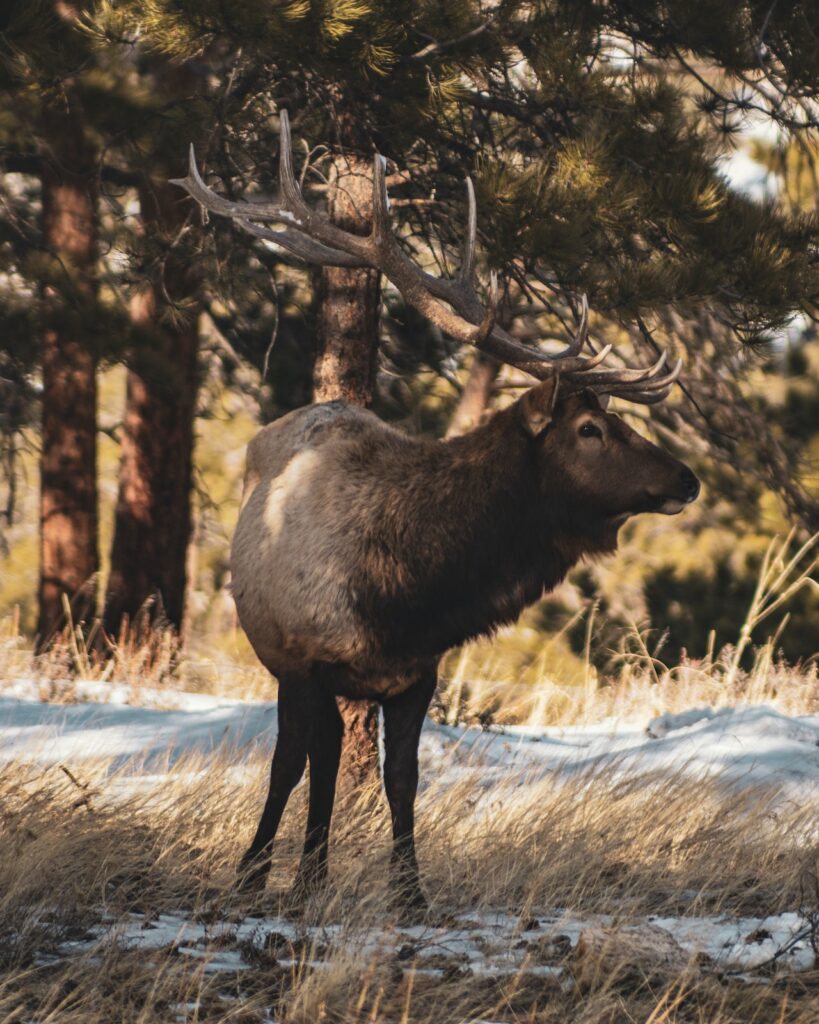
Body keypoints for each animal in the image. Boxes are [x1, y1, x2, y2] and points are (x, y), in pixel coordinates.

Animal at [172, 112, 700, 912]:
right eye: (590, 429)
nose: (687, 477)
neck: (406, 592)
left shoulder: (418, 674)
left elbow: (402, 779)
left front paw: (409, 894)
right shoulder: (307, 660)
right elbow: (300, 769)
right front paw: (274, 877)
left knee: (326, 758)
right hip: (287, 659)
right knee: (304, 758)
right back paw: (278, 870)